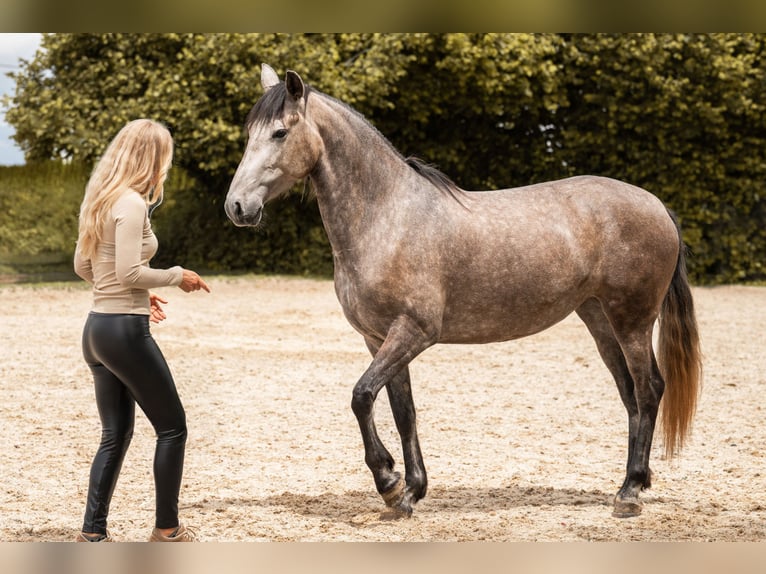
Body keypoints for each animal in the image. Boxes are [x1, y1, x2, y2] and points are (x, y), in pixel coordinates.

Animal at [225, 64, 702, 519]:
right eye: (250, 134)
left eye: (280, 132)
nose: (237, 207)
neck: (388, 216)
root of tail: (658, 206)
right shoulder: (379, 339)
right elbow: (402, 410)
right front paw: (410, 493)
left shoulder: (413, 333)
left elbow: (361, 397)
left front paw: (389, 481)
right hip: (600, 320)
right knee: (631, 396)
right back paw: (634, 482)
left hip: (632, 320)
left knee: (649, 389)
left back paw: (629, 493)